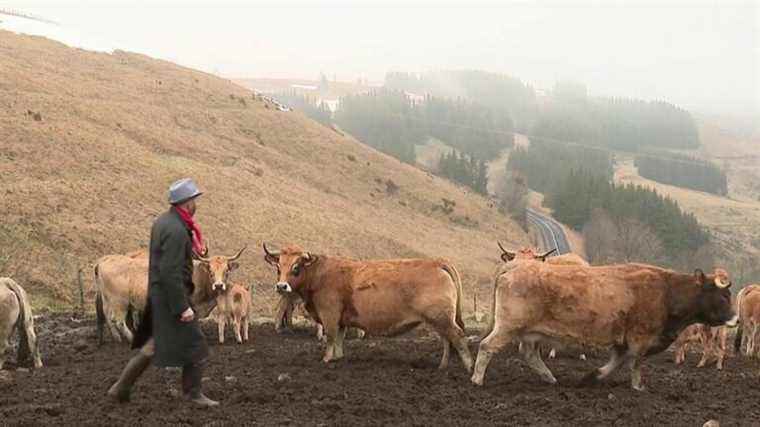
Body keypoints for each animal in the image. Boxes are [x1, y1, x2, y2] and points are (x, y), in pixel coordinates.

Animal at [264, 244, 472, 372]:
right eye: (278, 267)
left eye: (296, 267)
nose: (281, 286)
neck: (319, 274)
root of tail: (437, 262)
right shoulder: (341, 320)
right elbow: (339, 338)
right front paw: (338, 357)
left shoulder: (330, 315)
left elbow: (331, 337)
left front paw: (326, 359)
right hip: (440, 319)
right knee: (447, 340)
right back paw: (442, 366)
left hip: (441, 318)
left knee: (457, 337)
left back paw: (469, 367)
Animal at [472, 260, 740, 392]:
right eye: (724, 296)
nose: (736, 319)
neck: (667, 291)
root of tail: (515, 266)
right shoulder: (640, 339)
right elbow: (635, 364)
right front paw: (637, 386)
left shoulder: (622, 342)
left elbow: (617, 362)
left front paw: (592, 376)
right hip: (509, 326)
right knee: (486, 346)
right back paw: (477, 379)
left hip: (530, 332)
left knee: (528, 354)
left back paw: (550, 378)